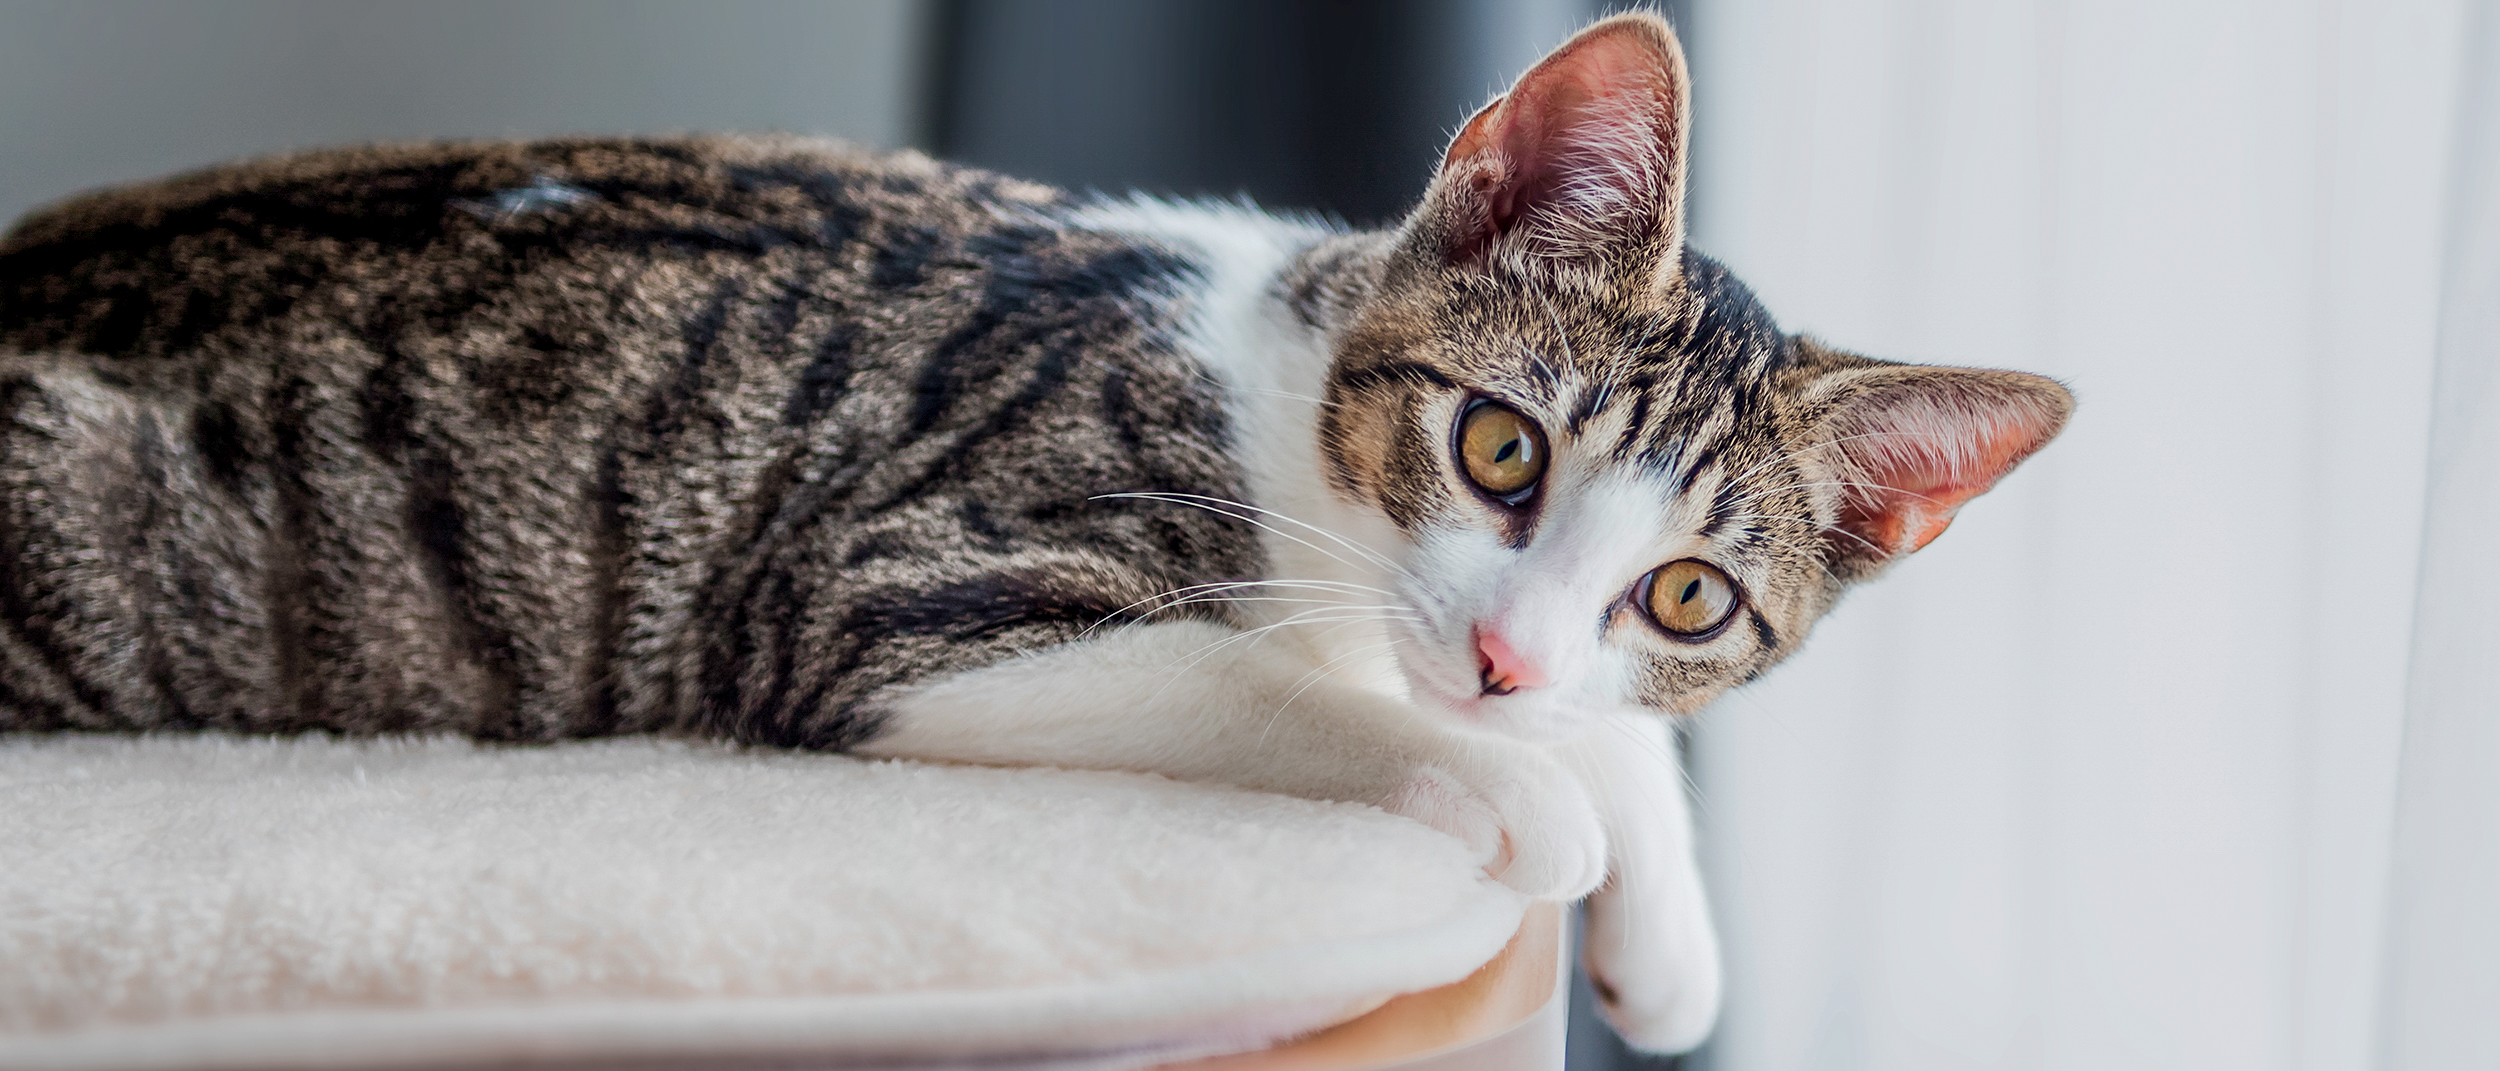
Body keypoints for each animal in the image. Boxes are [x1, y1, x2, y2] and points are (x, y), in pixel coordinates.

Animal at [0, 14, 2070, 1055]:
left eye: (1691, 595)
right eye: (1499, 447)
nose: (1501, 657)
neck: (1275, 401)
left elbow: (1585, 718)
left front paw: (1655, 912)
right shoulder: (889, 593)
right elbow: (1284, 687)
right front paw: (1533, 799)